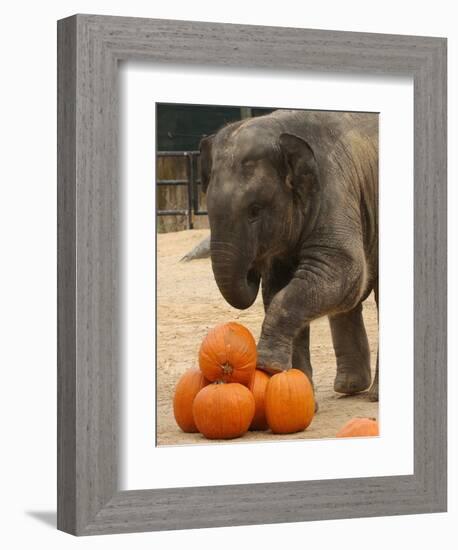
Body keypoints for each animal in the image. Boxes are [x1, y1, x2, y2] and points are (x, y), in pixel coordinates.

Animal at [199, 109, 378, 402]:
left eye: (255, 210)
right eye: (209, 211)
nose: (252, 270)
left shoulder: (335, 190)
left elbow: (343, 271)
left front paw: (267, 366)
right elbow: (278, 287)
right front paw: (298, 390)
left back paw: (373, 396)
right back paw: (349, 388)